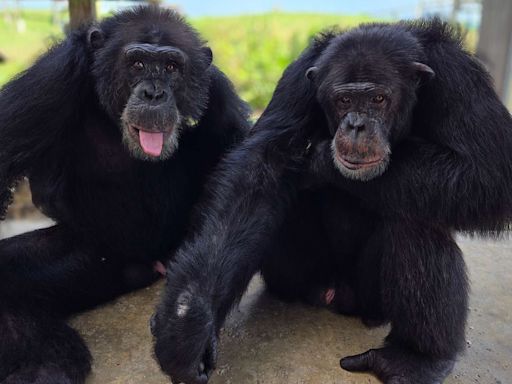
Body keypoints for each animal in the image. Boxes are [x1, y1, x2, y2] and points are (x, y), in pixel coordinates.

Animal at [0, 6, 248, 384]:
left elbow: (242, 179)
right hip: (97, 256)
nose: (154, 93)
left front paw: (188, 322)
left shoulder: (219, 95)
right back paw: (45, 367)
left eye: (171, 67)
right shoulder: (52, 77)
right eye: (138, 64)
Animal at [152, 18, 512, 384]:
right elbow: (261, 167)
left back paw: (416, 358)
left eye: (379, 98)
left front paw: (319, 160)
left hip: (372, 300)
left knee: (415, 218)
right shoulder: (298, 77)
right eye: (343, 100)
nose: (356, 124)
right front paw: (189, 321)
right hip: (299, 276)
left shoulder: (459, 77)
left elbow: (486, 173)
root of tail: (338, 296)